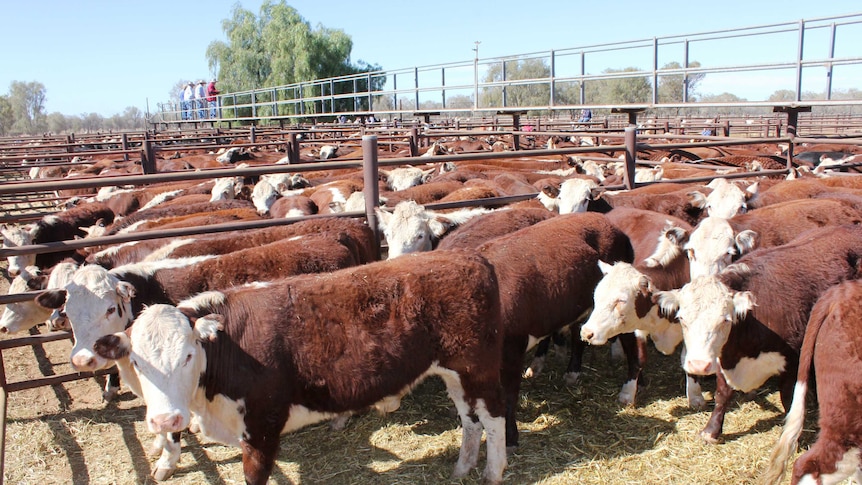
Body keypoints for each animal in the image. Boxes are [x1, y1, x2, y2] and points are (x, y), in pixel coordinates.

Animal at [93, 250, 512, 484]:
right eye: (137, 362)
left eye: (187, 355)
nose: (167, 421)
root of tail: (470, 258)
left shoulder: (262, 426)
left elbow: (254, 476)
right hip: (454, 373)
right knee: (469, 419)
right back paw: (462, 468)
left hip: (478, 367)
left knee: (493, 417)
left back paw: (492, 472)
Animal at [656, 225, 862, 440]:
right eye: (681, 318)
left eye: (725, 320)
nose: (698, 365)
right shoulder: (722, 356)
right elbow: (722, 394)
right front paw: (711, 430)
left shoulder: (792, 361)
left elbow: (787, 397)